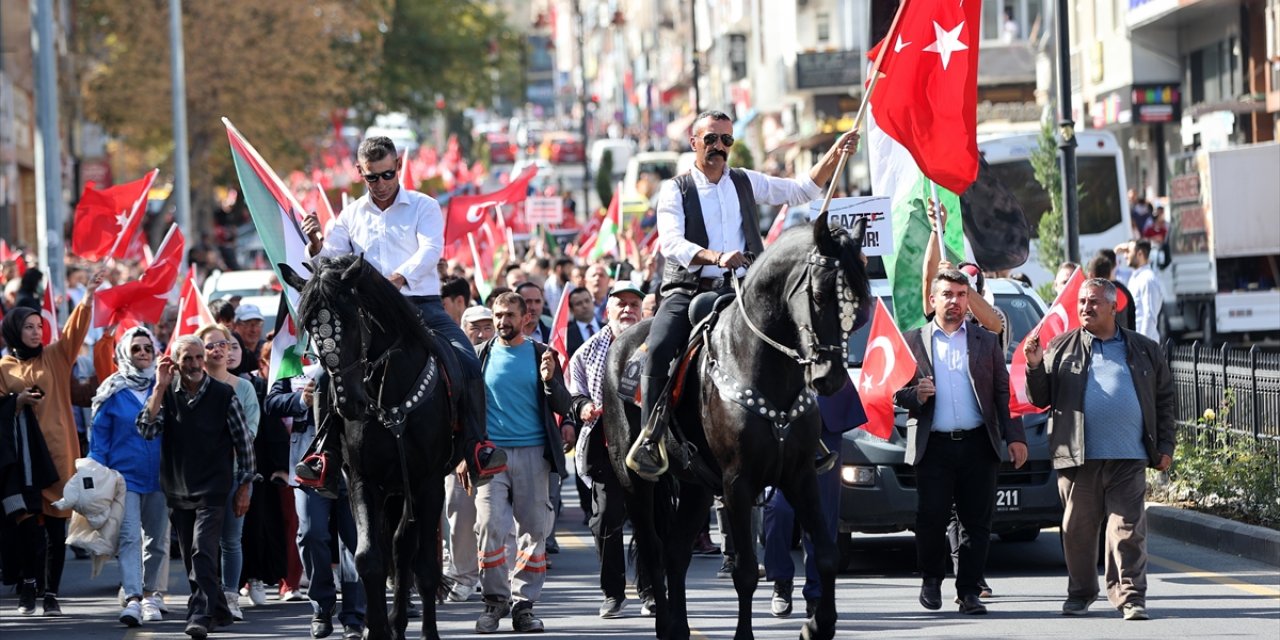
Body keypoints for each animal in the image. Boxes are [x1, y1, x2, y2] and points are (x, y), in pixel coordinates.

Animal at [280, 254, 455, 640]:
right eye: (311, 328)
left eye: (351, 321)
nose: (350, 404)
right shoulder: (364, 480)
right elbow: (368, 559)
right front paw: (376, 630)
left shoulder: (429, 482)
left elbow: (425, 567)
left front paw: (428, 633)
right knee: (399, 546)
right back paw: (396, 622)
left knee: (406, 548)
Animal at [601, 211, 870, 640]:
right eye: (819, 295)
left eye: (859, 304)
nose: (829, 378)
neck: (762, 367)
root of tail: (621, 341)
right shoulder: (738, 483)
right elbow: (744, 571)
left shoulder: (800, 475)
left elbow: (827, 554)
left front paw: (818, 626)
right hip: (635, 483)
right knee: (654, 548)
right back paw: (664, 624)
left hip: (695, 486)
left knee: (676, 551)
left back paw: (680, 626)